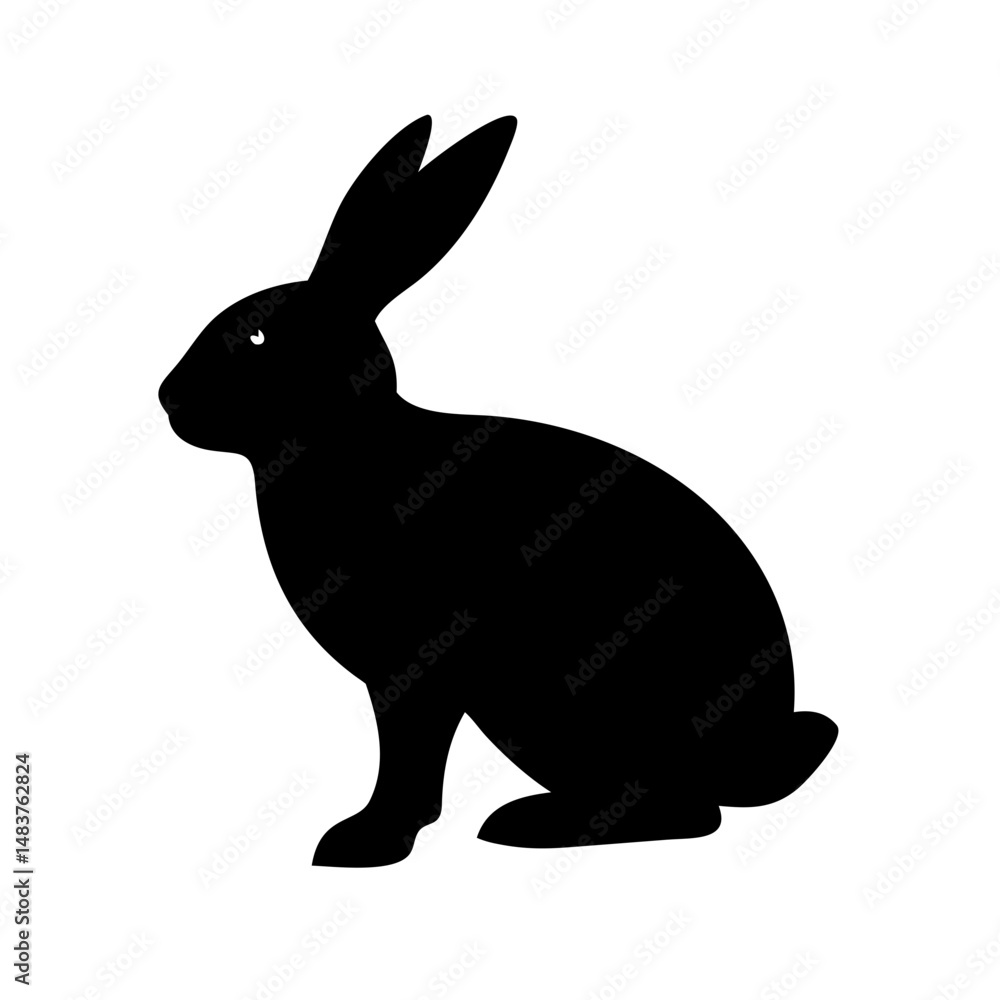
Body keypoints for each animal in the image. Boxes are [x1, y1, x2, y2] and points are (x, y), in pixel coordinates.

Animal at [159, 114, 837, 867]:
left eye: (255, 336)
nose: (167, 398)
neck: (351, 445)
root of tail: (759, 748)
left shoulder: (415, 671)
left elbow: (408, 755)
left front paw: (363, 841)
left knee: (686, 810)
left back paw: (531, 825)